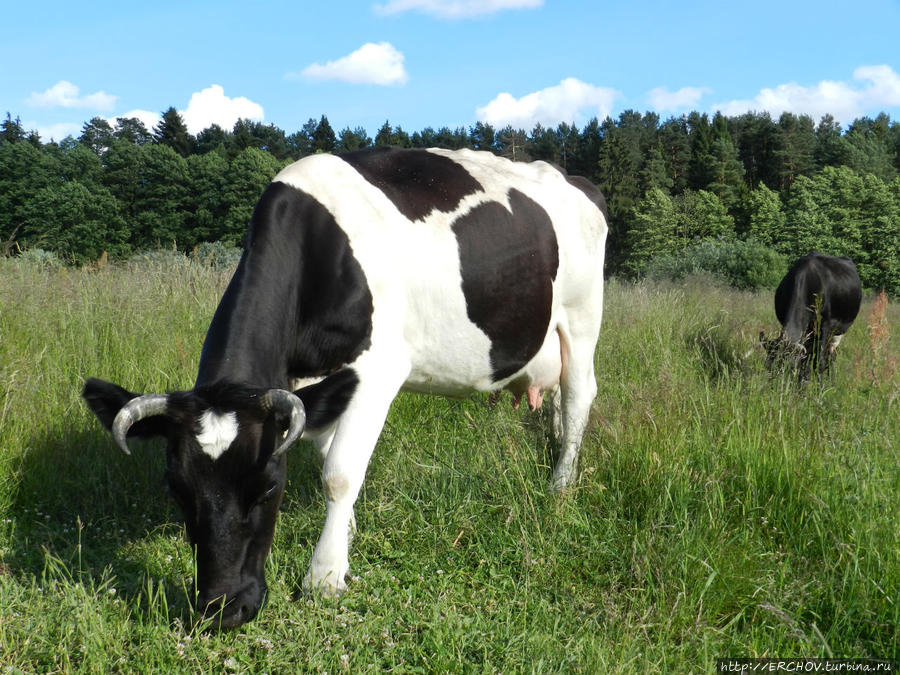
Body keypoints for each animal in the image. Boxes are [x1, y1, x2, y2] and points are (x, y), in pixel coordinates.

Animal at [82, 148, 612, 628]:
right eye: (176, 487)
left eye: (269, 487)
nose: (223, 610)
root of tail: (572, 178)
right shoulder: (310, 388)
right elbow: (326, 453)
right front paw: (348, 532)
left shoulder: (377, 372)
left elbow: (339, 472)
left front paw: (325, 575)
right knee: (560, 399)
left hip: (583, 316)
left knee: (580, 394)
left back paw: (560, 484)